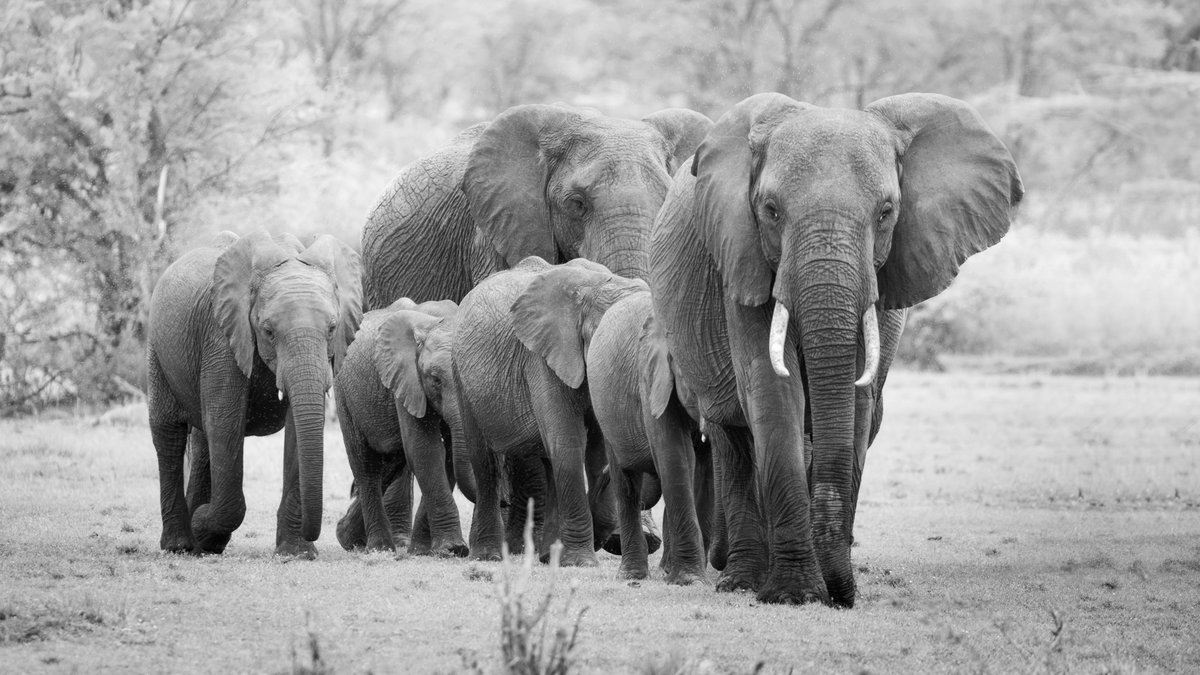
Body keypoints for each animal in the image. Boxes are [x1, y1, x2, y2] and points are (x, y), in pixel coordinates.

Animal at [147, 230, 361, 557]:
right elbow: (225, 422)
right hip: (157, 351)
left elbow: (298, 432)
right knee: (168, 433)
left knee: (202, 440)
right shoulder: (221, 336)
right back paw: (181, 545)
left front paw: (295, 554)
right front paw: (203, 526)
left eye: (332, 329)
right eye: (268, 331)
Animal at [332, 298, 470, 556]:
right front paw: (452, 549)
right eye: (436, 380)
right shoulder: (406, 377)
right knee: (366, 466)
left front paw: (423, 550)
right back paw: (378, 547)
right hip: (344, 394)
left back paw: (347, 537)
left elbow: (445, 456)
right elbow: (425, 451)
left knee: (392, 463)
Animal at [455, 257, 647, 566]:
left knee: (549, 462)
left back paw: (548, 556)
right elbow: (569, 442)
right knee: (486, 463)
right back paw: (487, 556)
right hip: (461, 376)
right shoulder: (541, 358)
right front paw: (580, 562)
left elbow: (595, 448)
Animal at [511, 264, 712, 584]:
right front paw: (690, 580)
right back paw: (632, 575)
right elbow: (674, 456)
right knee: (626, 481)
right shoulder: (647, 377)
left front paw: (684, 576)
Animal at [649, 93, 1023, 606]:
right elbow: (771, 390)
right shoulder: (741, 257)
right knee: (732, 434)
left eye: (886, 212)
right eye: (770, 210)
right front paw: (795, 595)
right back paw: (741, 581)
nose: (842, 595)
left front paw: (824, 588)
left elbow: (858, 402)